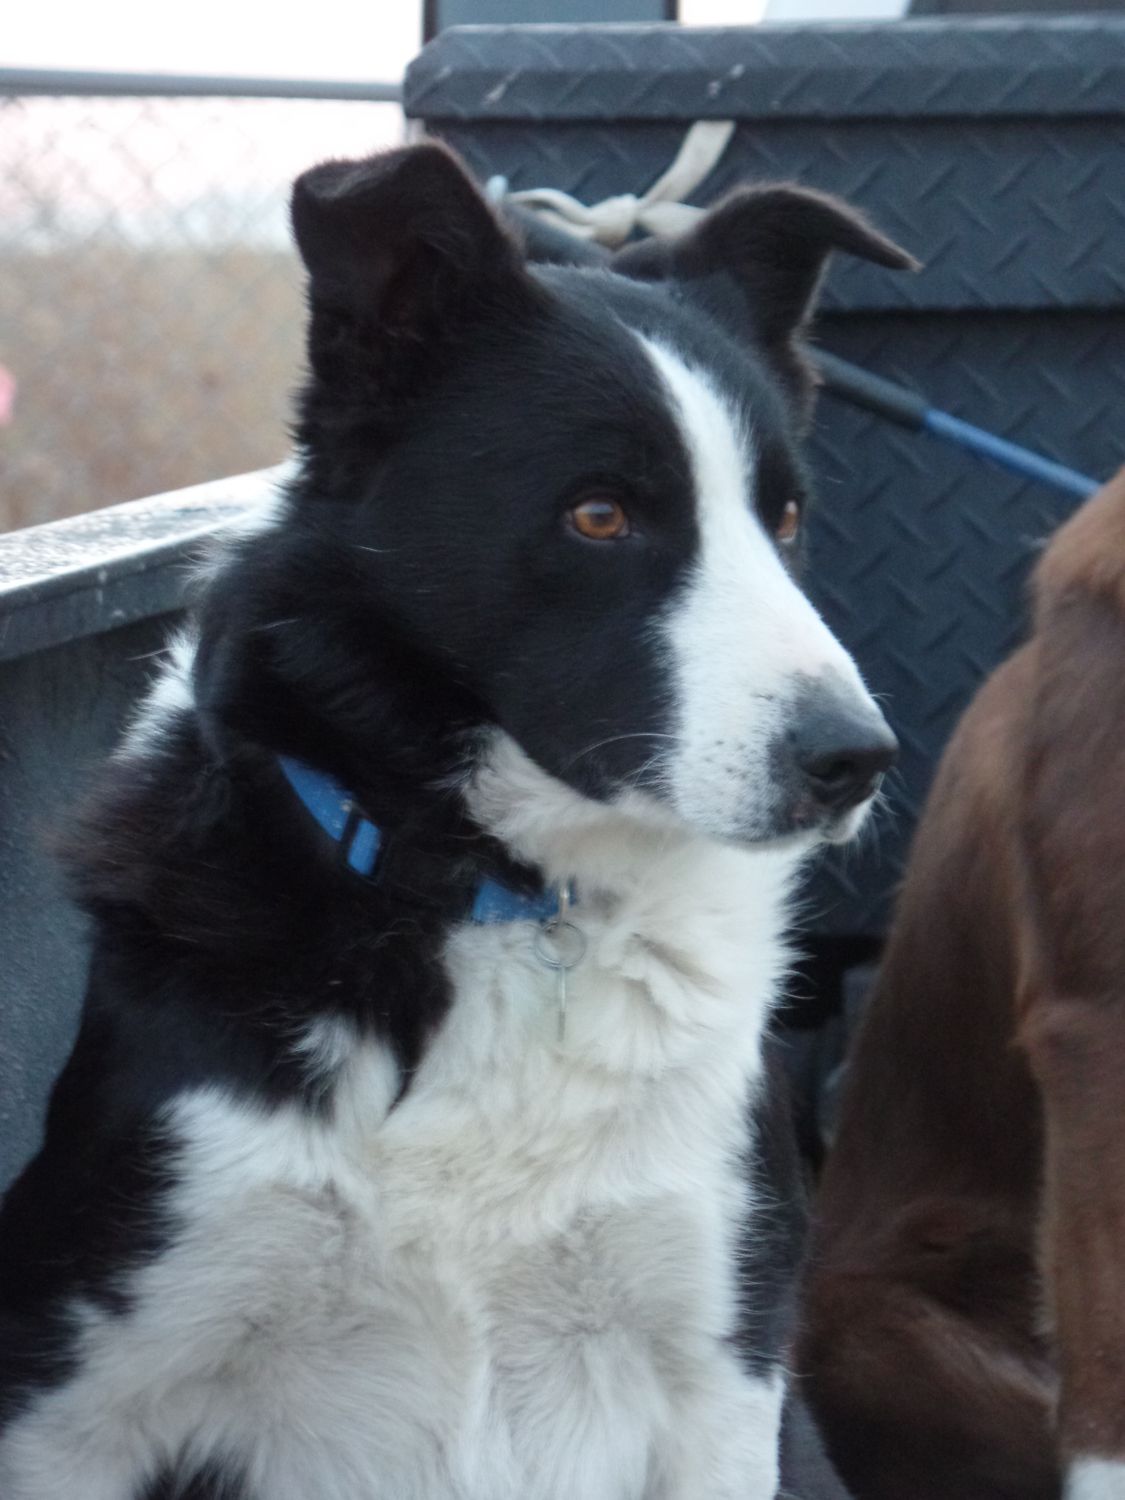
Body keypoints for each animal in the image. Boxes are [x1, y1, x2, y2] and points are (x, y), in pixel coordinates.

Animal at [0, 142, 910, 1499]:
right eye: (600, 515)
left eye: (785, 518)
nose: (854, 759)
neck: (509, 899)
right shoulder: (77, 1397)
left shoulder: (725, 1378)